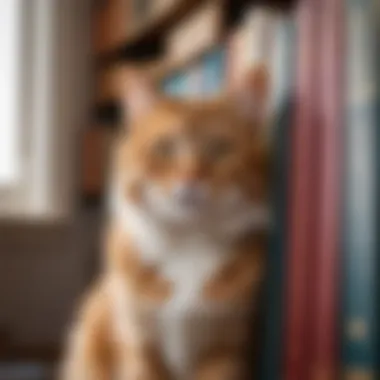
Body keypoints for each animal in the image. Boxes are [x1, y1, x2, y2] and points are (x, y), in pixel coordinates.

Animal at [60, 66, 272, 380]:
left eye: (220, 148)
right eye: (165, 147)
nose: (191, 178)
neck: (188, 245)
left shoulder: (227, 346)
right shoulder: (139, 341)